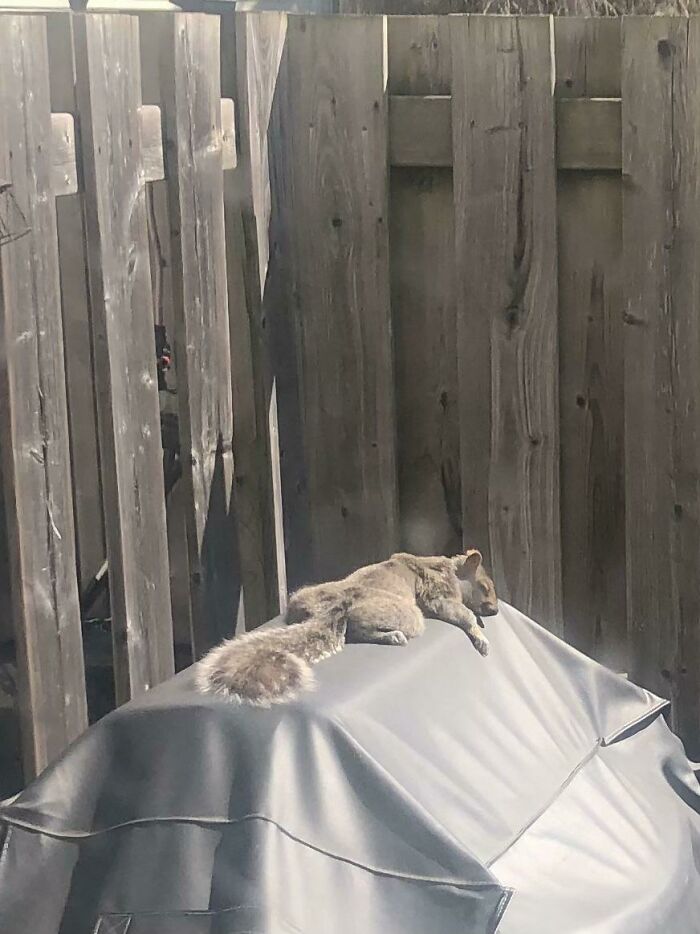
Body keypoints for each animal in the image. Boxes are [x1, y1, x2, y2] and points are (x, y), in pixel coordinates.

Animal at [196, 550, 498, 707]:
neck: (450, 570)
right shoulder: (436, 593)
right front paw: (480, 636)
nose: (494, 610)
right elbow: (460, 614)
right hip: (409, 615)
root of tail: (334, 608)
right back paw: (393, 636)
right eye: (484, 587)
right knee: (357, 629)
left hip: (304, 598)